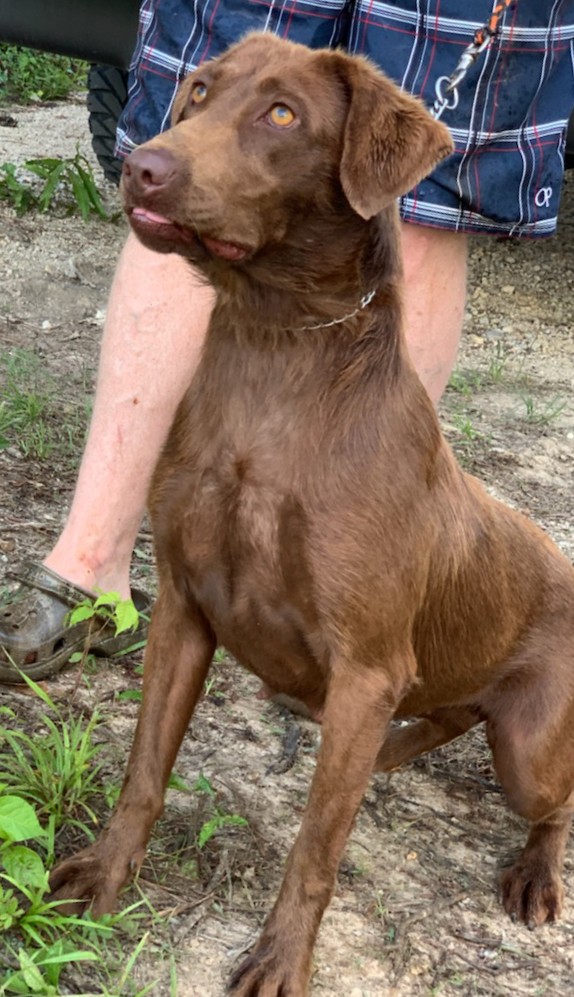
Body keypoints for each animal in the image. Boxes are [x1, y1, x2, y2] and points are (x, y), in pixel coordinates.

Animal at [48, 33, 574, 996]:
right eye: (199, 93)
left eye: (283, 114)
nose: (143, 167)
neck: (275, 344)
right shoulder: (184, 608)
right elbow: (144, 769)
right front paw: (105, 873)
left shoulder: (369, 666)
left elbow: (316, 848)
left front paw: (281, 958)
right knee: (446, 713)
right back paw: (397, 749)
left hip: (529, 747)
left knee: (552, 801)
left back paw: (533, 874)